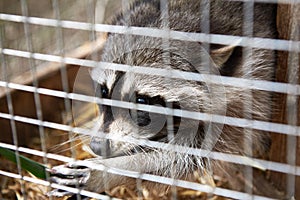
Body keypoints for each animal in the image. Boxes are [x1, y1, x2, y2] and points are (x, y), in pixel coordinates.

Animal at [49, 0, 276, 197]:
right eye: (105, 92)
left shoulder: (248, 90)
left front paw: (111, 170)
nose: (97, 147)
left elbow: (187, 155)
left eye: (141, 101)